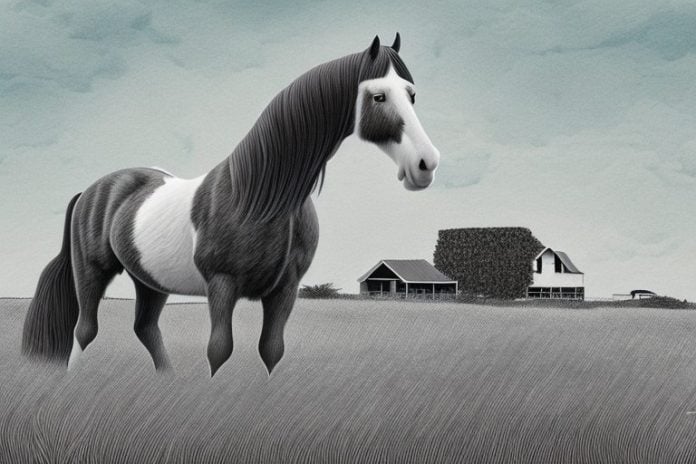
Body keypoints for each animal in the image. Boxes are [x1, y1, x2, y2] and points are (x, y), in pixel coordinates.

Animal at [21, 34, 440, 376]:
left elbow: (271, 350)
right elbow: (219, 350)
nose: (426, 164)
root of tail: (91, 190)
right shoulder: (222, 286)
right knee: (84, 330)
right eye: (378, 96)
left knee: (145, 328)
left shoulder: (285, 289)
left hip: (150, 280)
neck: (263, 196)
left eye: (411, 94)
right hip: (92, 271)